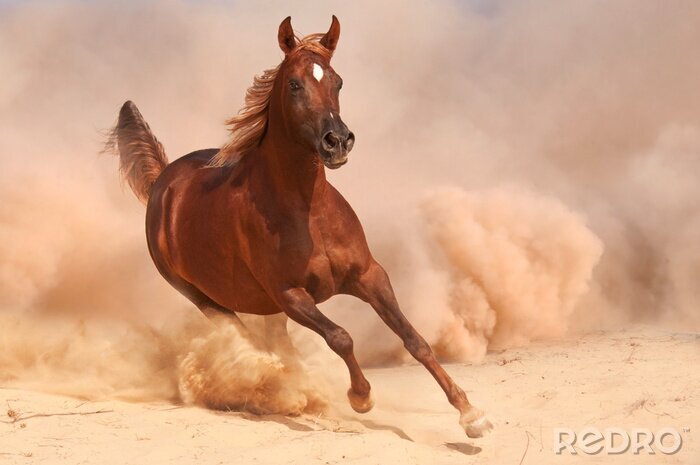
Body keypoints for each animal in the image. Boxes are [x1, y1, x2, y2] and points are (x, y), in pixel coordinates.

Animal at [106, 16, 492, 438]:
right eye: (294, 83)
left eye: (338, 81)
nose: (337, 141)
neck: (309, 212)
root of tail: (164, 181)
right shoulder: (291, 294)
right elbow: (341, 337)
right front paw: (361, 397)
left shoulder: (369, 276)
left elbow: (414, 338)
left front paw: (471, 414)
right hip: (207, 300)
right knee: (254, 346)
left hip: (265, 306)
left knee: (278, 347)